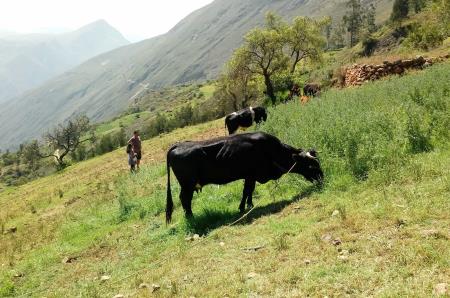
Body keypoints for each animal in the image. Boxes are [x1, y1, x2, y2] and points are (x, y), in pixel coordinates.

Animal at [165, 132, 324, 222]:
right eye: (311, 166)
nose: (322, 179)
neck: (271, 151)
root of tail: (177, 145)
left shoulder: (250, 176)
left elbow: (248, 191)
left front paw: (249, 205)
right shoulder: (251, 174)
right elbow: (247, 190)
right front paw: (243, 207)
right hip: (187, 185)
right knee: (185, 200)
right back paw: (190, 217)